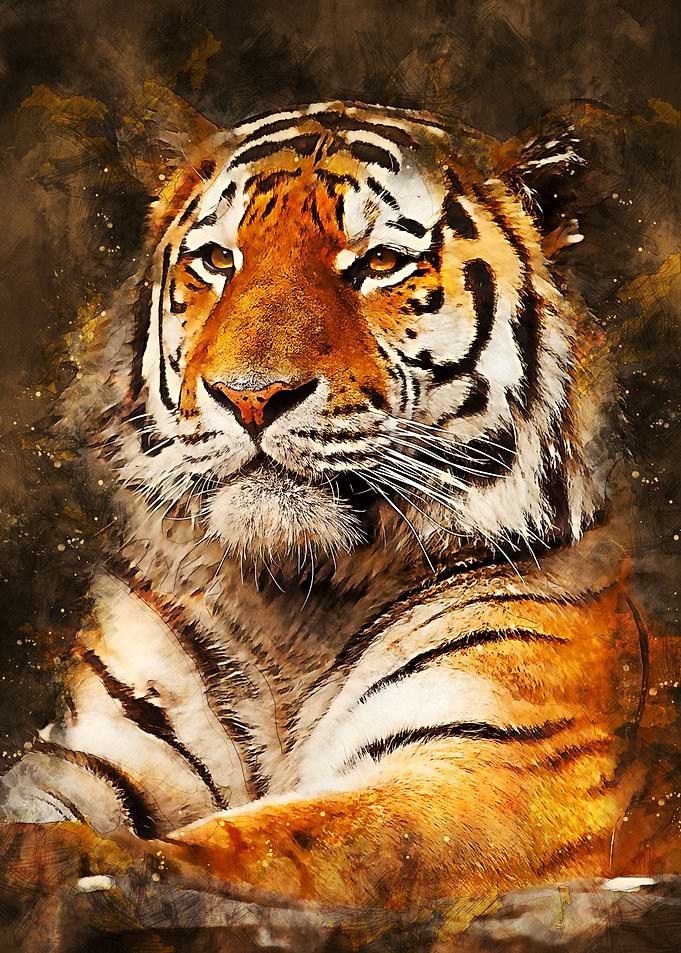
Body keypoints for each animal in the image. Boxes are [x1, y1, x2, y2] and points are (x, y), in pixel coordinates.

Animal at [1, 95, 679, 931]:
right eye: (217, 261)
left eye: (380, 264)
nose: (250, 395)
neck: (293, 599)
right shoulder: (94, 751)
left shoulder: (490, 764)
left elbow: (263, 840)